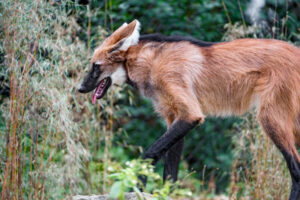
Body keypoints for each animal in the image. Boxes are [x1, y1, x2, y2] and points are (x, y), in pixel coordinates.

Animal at [78, 19, 300, 199]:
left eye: (95, 66)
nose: (80, 88)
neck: (148, 63)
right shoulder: (175, 117)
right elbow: (171, 172)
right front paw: (165, 194)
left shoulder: (190, 114)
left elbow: (150, 153)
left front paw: (138, 183)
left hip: (270, 120)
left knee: (296, 169)